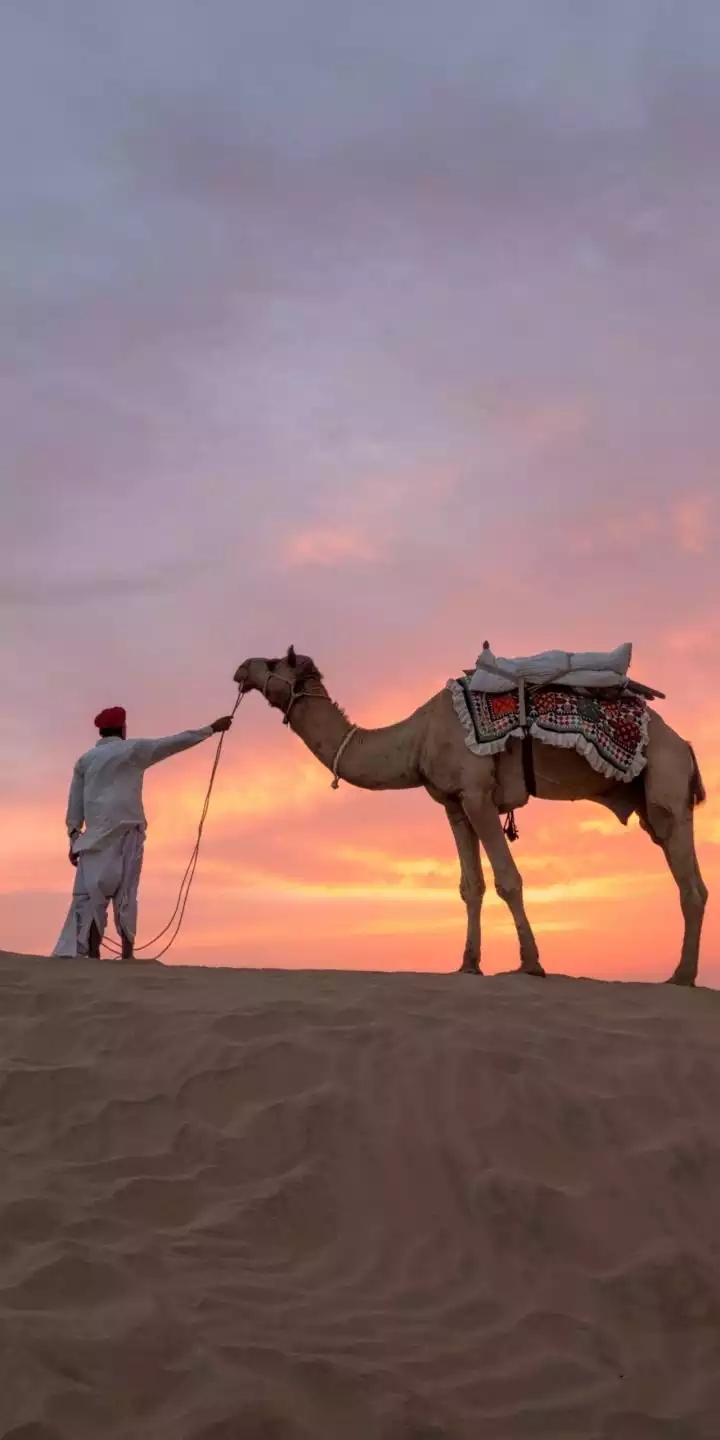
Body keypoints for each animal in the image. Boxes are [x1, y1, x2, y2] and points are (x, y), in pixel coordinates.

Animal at [233, 648, 708, 986]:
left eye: (273, 662)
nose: (241, 669)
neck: (417, 738)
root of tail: (685, 744)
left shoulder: (478, 793)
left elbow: (508, 880)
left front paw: (531, 963)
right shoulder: (453, 803)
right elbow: (471, 886)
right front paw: (468, 964)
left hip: (665, 781)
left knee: (690, 884)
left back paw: (681, 977)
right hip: (650, 798)